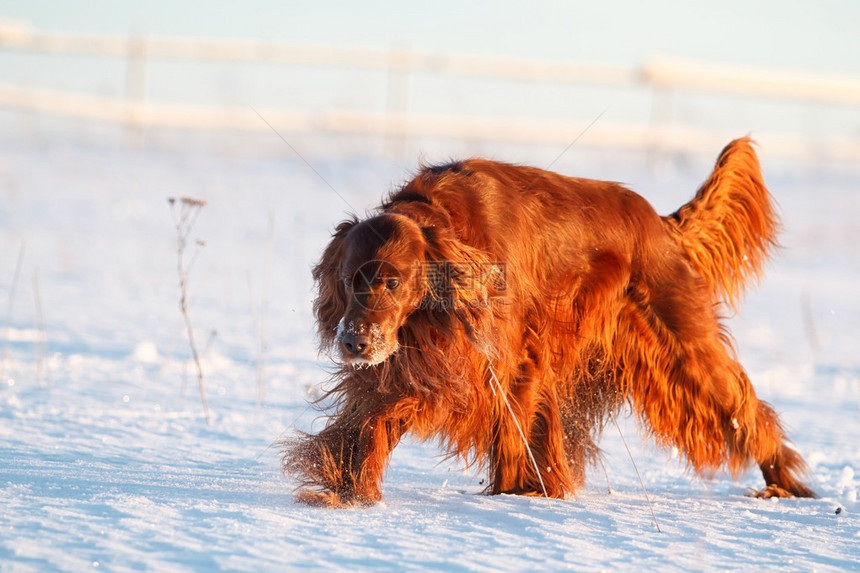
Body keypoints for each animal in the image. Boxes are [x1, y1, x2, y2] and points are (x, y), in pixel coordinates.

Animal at [286, 139, 816, 504]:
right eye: (347, 279)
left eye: (393, 283)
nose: (353, 343)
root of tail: (659, 223)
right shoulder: (419, 355)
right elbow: (373, 415)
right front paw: (347, 486)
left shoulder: (508, 361)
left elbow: (512, 432)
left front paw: (519, 494)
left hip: (687, 349)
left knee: (746, 409)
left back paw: (785, 486)